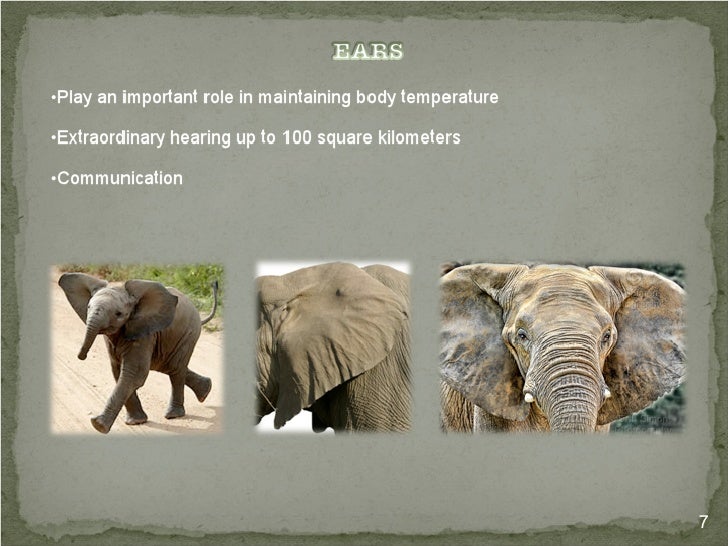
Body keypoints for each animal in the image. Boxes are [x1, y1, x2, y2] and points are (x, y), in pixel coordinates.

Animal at [58, 272, 218, 434]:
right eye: (88, 307)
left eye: (119, 314)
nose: (81, 356)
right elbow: (118, 372)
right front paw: (135, 422)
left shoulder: (143, 332)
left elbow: (134, 373)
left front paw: (98, 425)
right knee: (168, 365)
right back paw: (206, 390)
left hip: (188, 333)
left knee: (175, 368)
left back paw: (174, 415)